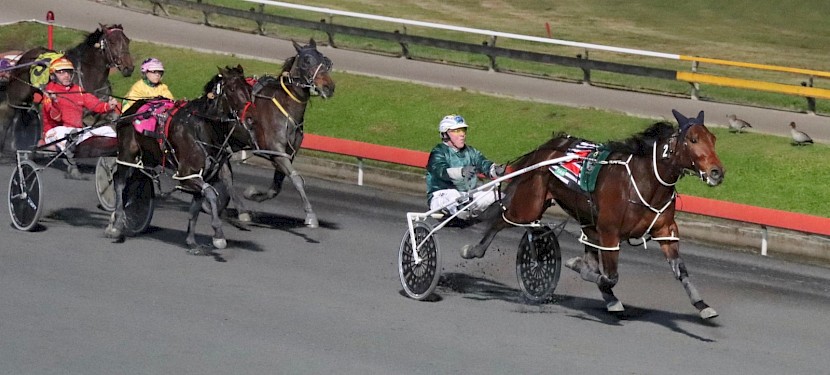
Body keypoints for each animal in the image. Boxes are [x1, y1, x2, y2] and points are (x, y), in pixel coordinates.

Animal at [1, 23, 133, 156]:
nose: (129, 68)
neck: (89, 75)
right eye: (112, 41)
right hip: (16, 95)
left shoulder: (100, 109)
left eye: (127, 40)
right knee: (8, 117)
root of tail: (26, 55)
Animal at [105, 67, 254, 256]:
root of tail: (131, 110)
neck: (201, 129)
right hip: (127, 153)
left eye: (249, 89)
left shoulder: (204, 175)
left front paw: (192, 241)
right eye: (232, 89)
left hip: (148, 157)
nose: (250, 119)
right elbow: (211, 193)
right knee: (119, 181)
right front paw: (218, 235)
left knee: (136, 181)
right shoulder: (187, 175)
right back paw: (116, 224)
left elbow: (197, 205)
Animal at [464, 109, 724, 320]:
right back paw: (473, 249)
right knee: (500, 220)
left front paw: (702, 305)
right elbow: (609, 275)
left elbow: (680, 269)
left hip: (585, 220)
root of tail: (544, 149)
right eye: (693, 139)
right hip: (529, 205)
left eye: (713, 139)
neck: (644, 181)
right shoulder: (609, 232)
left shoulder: (664, 230)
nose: (717, 172)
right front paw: (578, 265)